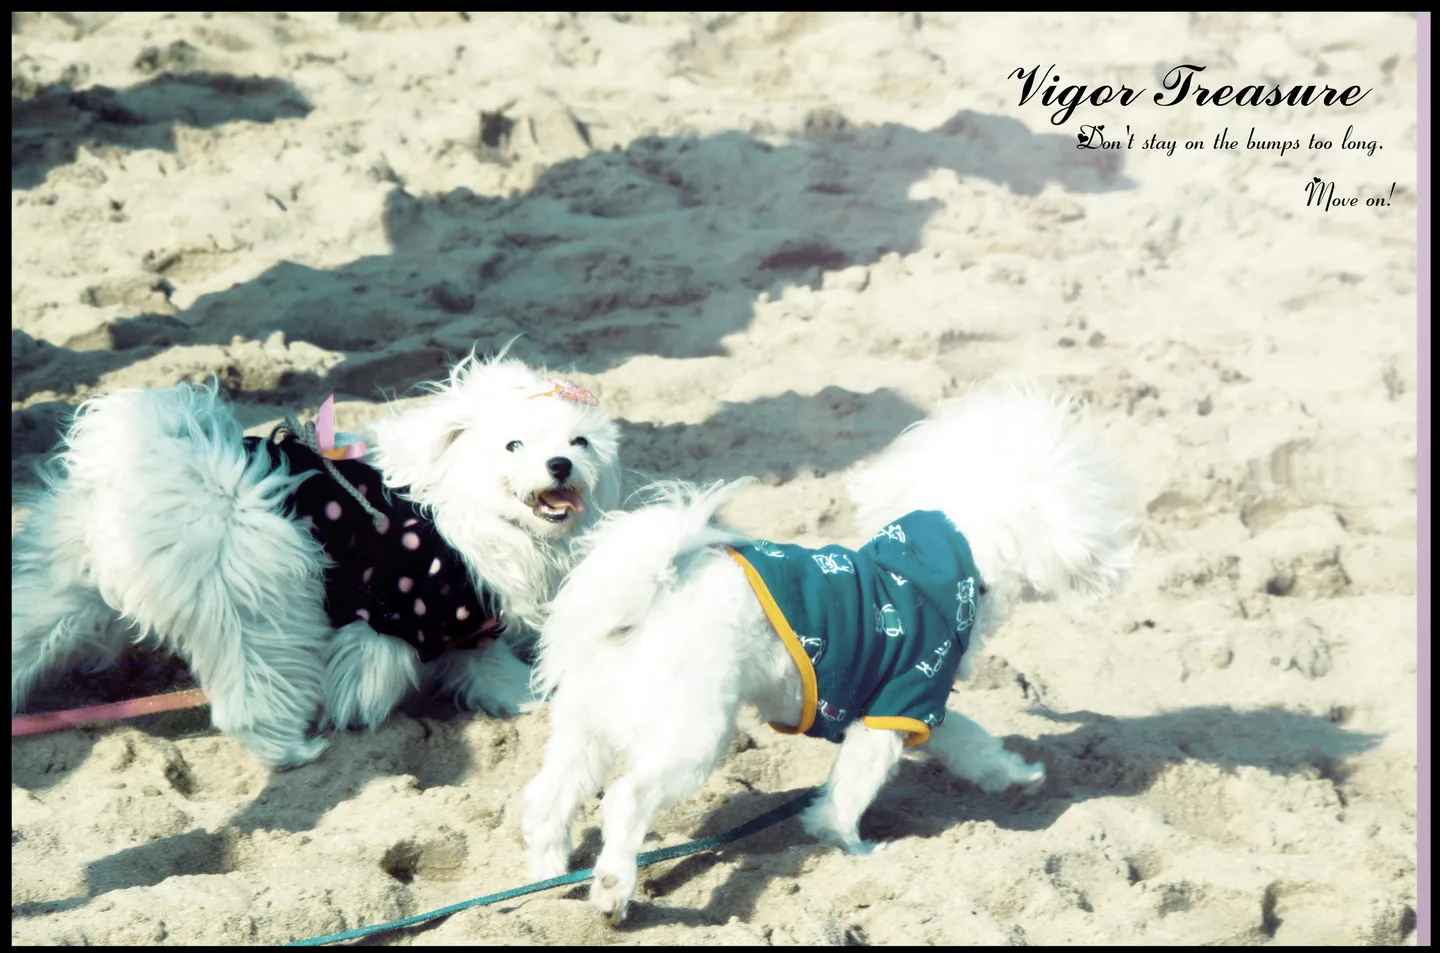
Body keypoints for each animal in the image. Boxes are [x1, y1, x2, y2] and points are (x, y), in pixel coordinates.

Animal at [11, 350, 621, 769]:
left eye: (581, 442)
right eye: (513, 446)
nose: (561, 464)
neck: (459, 501)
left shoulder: (467, 619)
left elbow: (486, 664)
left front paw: (524, 697)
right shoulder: (398, 616)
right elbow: (378, 669)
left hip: (61, 589)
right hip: (258, 615)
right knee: (251, 698)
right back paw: (291, 752)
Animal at [521, 380, 1138, 923]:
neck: (950, 558)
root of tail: (648, 597)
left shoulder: (917, 703)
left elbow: (970, 740)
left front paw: (1014, 774)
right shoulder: (896, 707)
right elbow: (849, 793)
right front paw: (853, 850)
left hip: (584, 728)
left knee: (550, 797)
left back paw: (547, 881)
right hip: (693, 736)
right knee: (625, 800)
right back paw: (612, 892)